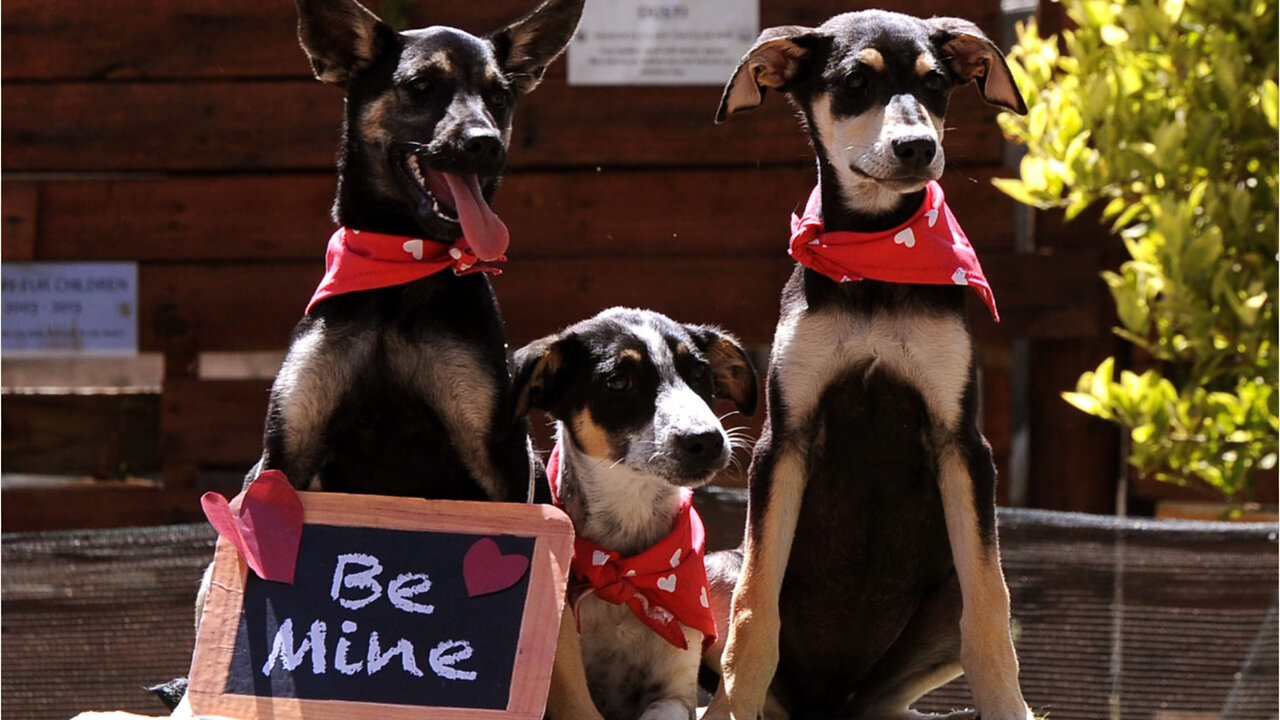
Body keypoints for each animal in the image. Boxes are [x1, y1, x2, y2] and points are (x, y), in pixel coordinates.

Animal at [252, 0, 583, 499]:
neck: (401, 264)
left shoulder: (504, 459)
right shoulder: (286, 448)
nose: (486, 143)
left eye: (499, 96)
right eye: (421, 86)